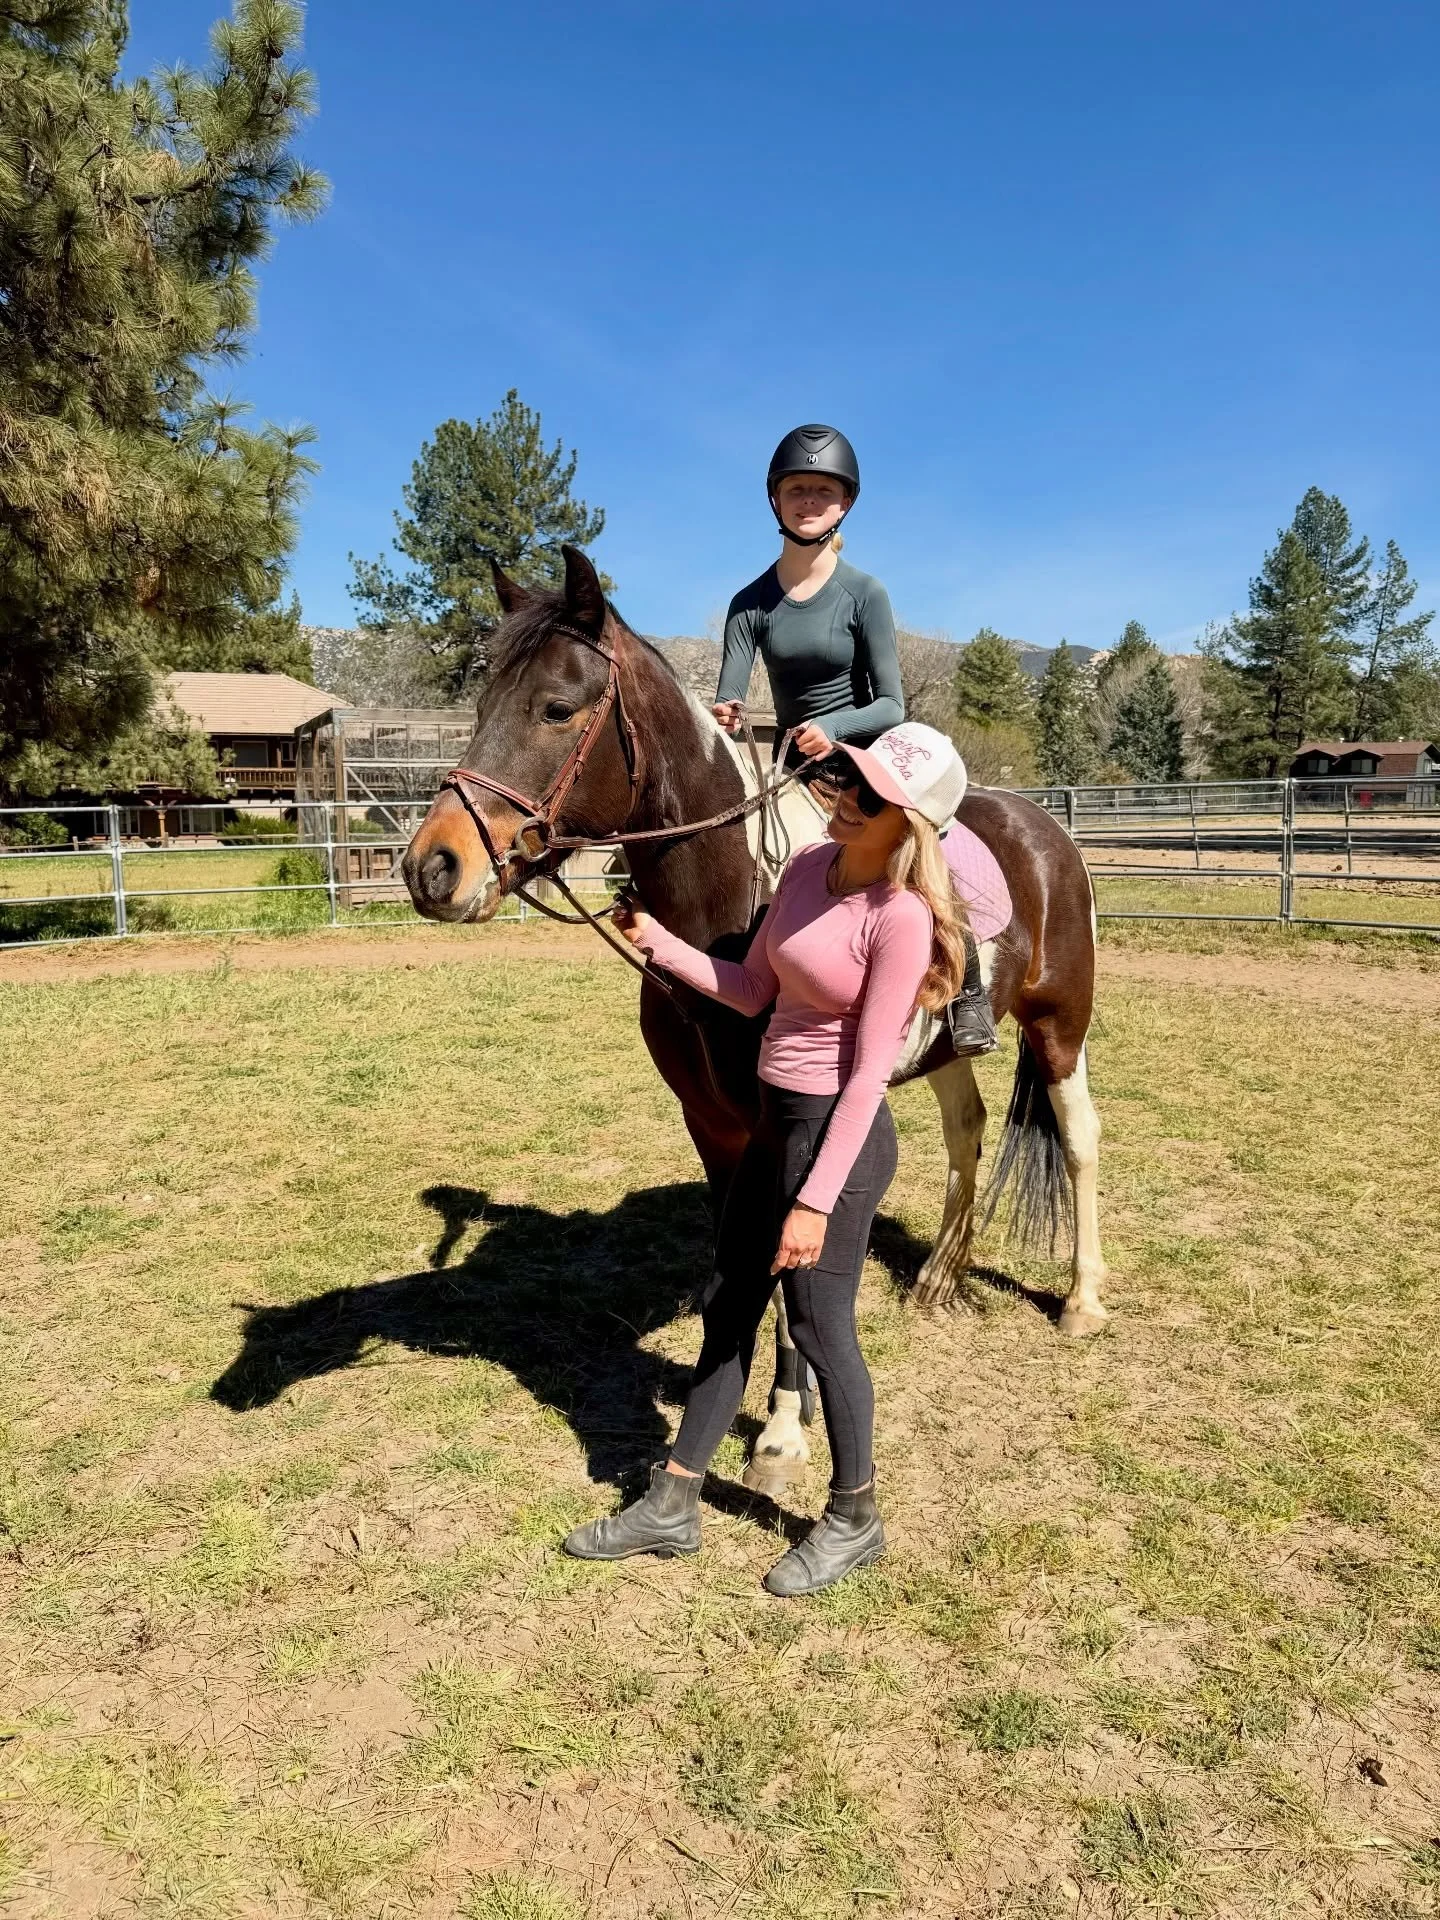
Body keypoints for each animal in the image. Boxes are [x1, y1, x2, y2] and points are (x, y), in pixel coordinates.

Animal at [401, 545, 1107, 1491]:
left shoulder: (783, 1119)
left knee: (1079, 1137)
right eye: (479, 709)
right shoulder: (712, 1123)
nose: (432, 868)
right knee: (968, 1128)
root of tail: (1044, 824)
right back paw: (937, 1279)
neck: (732, 909)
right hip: (950, 1042)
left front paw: (780, 1429)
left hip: (1061, 1025)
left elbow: (781, 1260)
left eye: (556, 708)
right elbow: (737, 1256)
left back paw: (1083, 1300)